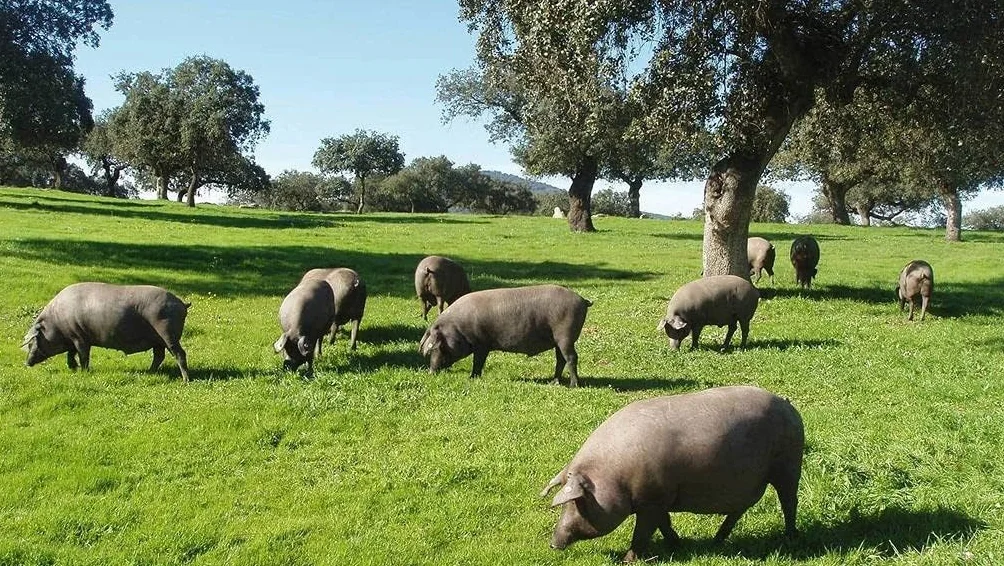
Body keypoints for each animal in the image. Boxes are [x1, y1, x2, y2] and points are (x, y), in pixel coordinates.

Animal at [21, 282, 190, 381]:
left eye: (31, 343)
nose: (27, 363)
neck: (56, 324)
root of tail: (182, 303)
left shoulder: (80, 338)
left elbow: (83, 355)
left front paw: (84, 371)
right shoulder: (72, 339)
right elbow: (70, 354)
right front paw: (72, 368)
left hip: (168, 334)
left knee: (179, 354)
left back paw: (185, 380)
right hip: (158, 340)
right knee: (159, 356)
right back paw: (149, 373)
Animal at [418, 284, 591, 387]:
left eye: (438, 346)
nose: (431, 372)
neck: (460, 328)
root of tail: (583, 300)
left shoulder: (482, 344)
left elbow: (478, 362)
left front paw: (472, 378)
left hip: (565, 336)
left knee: (571, 358)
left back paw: (574, 385)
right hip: (558, 341)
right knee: (560, 359)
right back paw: (554, 383)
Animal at [542, 385, 804, 562]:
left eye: (578, 502)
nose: (553, 544)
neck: (614, 477)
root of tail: (787, 404)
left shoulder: (652, 500)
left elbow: (643, 532)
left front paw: (628, 560)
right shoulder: (659, 499)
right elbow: (664, 523)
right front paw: (677, 545)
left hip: (789, 465)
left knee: (789, 502)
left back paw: (791, 537)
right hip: (753, 482)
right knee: (740, 510)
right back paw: (717, 540)